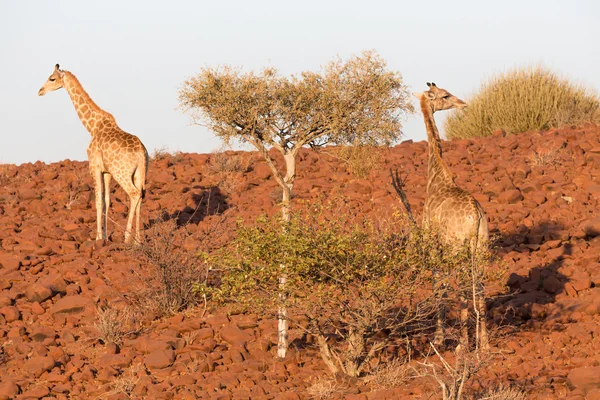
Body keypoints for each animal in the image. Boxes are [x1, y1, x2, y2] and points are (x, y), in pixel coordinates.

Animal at [38, 64, 148, 244]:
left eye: (52, 78)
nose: (40, 91)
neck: (93, 126)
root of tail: (141, 151)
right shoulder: (107, 172)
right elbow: (106, 201)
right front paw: (105, 236)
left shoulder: (95, 167)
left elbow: (98, 201)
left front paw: (98, 237)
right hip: (140, 172)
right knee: (141, 196)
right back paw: (138, 240)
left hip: (122, 173)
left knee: (134, 194)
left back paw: (127, 238)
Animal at [414, 81, 490, 350]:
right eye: (445, 95)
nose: (463, 103)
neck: (436, 175)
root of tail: (475, 216)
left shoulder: (431, 241)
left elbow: (439, 285)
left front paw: (438, 336)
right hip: (481, 246)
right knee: (479, 285)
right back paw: (484, 343)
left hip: (458, 247)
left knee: (464, 287)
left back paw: (463, 344)